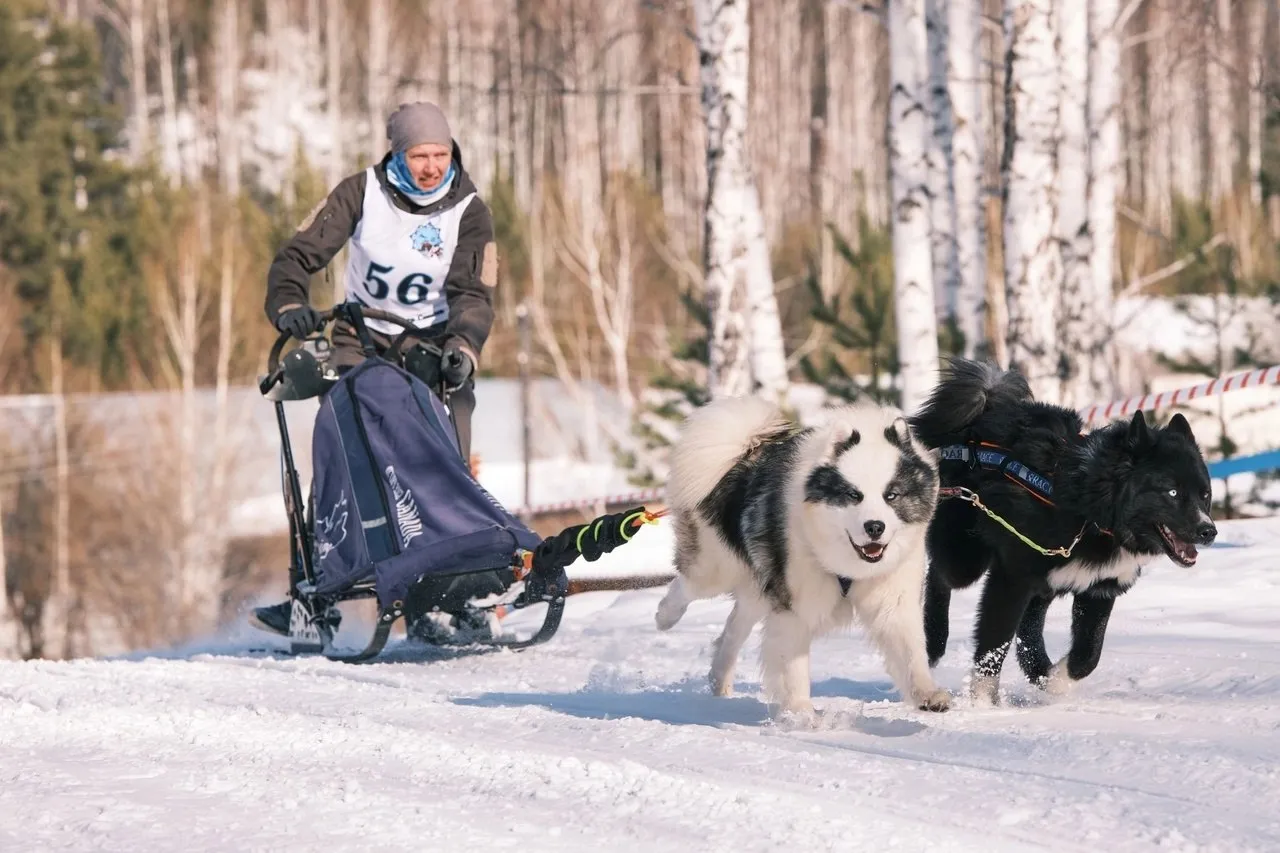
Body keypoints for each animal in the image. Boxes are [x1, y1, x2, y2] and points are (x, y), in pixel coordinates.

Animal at [660, 394, 952, 712]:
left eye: (892, 495)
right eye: (853, 495)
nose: (875, 526)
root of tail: (743, 452)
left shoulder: (893, 598)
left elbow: (910, 652)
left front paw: (928, 694)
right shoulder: (795, 603)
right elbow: (793, 668)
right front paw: (800, 712)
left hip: (758, 584)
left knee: (734, 626)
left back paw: (719, 680)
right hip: (717, 568)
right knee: (687, 585)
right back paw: (665, 616)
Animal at [906, 356, 1213, 701]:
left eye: (1204, 494)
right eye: (1171, 492)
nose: (1209, 531)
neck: (1089, 509)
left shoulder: (1099, 589)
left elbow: (1086, 656)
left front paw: (1051, 681)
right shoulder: (1010, 579)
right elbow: (993, 646)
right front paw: (983, 704)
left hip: (1043, 583)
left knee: (1029, 630)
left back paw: (1038, 669)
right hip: (966, 558)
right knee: (939, 575)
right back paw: (932, 642)